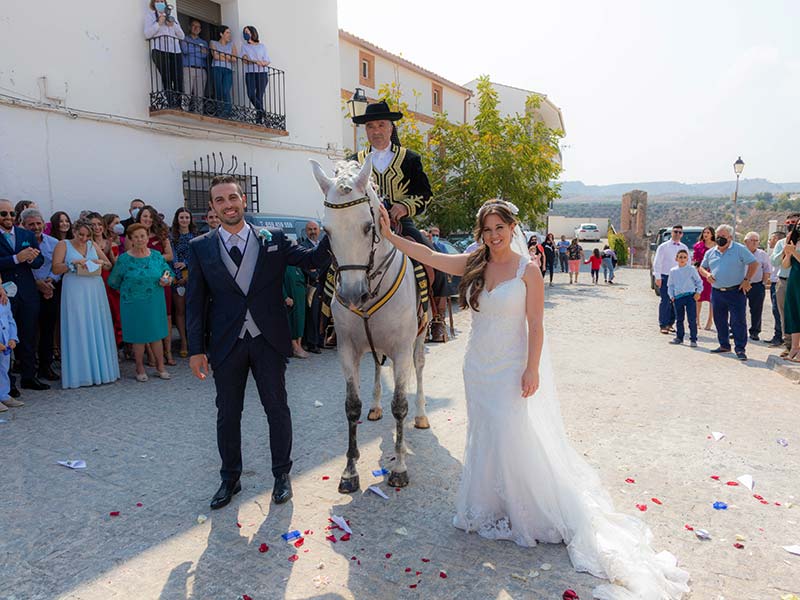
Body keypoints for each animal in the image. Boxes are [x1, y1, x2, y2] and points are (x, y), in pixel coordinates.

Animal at [310, 156, 428, 492]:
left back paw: (422, 415)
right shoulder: (347, 349)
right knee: (377, 365)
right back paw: (375, 407)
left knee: (419, 368)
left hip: (420, 337)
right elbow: (352, 406)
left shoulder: (401, 348)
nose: (352, 294)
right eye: (327, 230)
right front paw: (349, 471)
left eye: (367, 226)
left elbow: (399, 404)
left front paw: (399, 467)